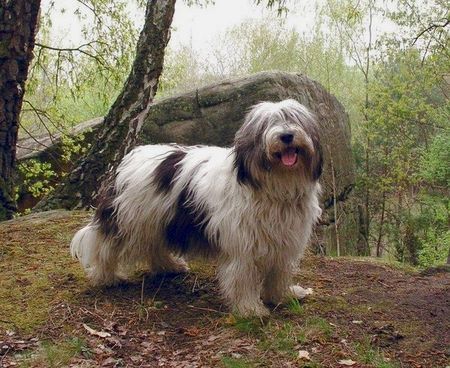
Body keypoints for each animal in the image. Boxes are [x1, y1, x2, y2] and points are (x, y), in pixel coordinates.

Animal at [71, 98, 324, 316]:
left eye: (295, 119)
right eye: (267, 125)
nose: (287, 135)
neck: (275, 187)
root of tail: (126, 160)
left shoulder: (284, 241)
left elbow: (279, 273)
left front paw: (283, 296)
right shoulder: (242, 245)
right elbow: (242, 277)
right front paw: (249, 309)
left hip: (155, 220)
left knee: (153, 246)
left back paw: (169, 265)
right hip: (128, 218)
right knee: (104, 246)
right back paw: (105, 276)